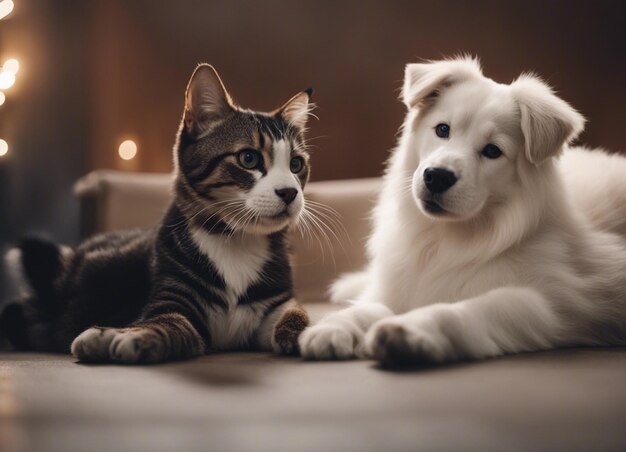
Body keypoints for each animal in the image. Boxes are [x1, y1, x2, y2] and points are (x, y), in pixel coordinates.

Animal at [0, 65, 312, 364]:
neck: (236, 240)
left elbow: (297, 315)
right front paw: (131, 335)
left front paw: (308, 334)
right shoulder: (172, 296)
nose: (289, 192)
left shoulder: (278, 304)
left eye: (296, 164)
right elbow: (170, 324)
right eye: (249, 158)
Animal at [298, 57, 624, 368]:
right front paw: (335, 327)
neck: (445, 239)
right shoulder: (400, 286)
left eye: (493, 151)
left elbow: (470, 309)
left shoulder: (552, 303)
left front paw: (410, 330)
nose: (437, 177)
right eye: (443, 129)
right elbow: (371, 308)